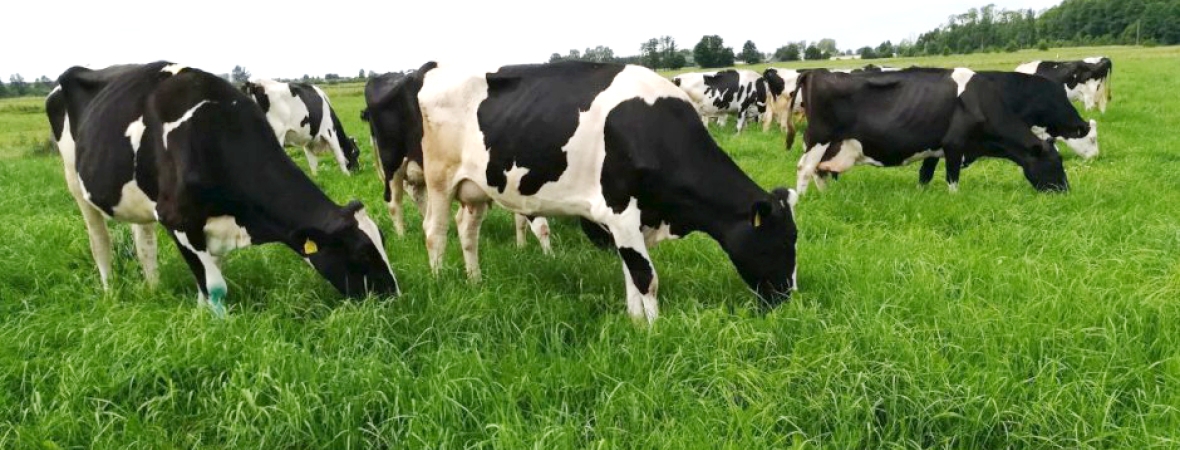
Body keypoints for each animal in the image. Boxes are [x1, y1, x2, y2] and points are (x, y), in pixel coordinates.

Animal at [48, 62, 398, 317]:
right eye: (361, 252)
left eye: (382, 241)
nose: (394, 295)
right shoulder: (178, 219)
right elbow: (215, 286)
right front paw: (218, 325)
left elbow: (208, 279)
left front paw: (202, 313)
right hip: (76, 185)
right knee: (99, 242)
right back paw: (110, 293)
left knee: (144, 243)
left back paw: (154, 288)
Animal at [361, 72, 553, 253]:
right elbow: (540, 224)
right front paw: (549, 255)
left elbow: (521, 217)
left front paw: (522, 247)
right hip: (392, 162)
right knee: (394, 202)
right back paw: (403, 236)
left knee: (420, 198)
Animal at [787, 68, 1093, 195]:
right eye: (1055, 163)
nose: (1065, 191)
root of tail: (815, 72)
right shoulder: (954, 146)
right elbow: (952, 178)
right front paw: (954, 199)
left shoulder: (933, 149)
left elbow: (925, 176)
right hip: (818, 137)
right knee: (804, 168)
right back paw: (803, 200)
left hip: (833, 145)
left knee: (820, 171)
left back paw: (828, 196)